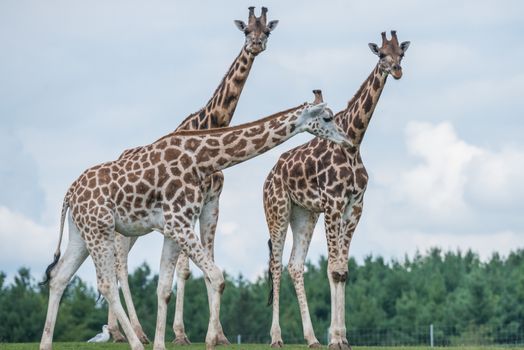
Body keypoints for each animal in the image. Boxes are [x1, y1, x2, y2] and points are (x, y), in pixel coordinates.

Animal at [40, 97, 352, 350]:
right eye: (327, 117)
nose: (347, 140)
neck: (201, 160)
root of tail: (69, 194)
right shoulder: (179, 221)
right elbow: (217, 277)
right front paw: (212, 340)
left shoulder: (172, 227)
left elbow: (164, 288)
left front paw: (163, 345)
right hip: (100, 229)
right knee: (105, 284)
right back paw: (135, 343)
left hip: (81, 233)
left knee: (59, 277)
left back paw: (46, 344)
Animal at [104, 7, 280, 344]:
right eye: (246, 30)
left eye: (267, 31)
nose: (256, 44)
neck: (210, 124)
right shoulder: (187, 206)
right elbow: (186, 270)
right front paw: (181, 334)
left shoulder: (212, 201)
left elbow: (205, 263)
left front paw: (219, 335)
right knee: (119, 264)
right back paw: (133, 332)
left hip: (133, 227)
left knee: (120, 260)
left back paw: (120, 331)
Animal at [264, 31, 412, 348]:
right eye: (381, 54)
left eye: (402, 54)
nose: (396, 71)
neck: (354, 143)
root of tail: (269, 176)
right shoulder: (333, 202)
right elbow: (333, 268)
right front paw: (335, 338)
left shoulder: (354, 205)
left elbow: (342, 271)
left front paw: (342, 337)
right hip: (277, 210)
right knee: (275, 265)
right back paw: (276, 338)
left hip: (304, 214)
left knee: (295, 265)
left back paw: (311, 339)